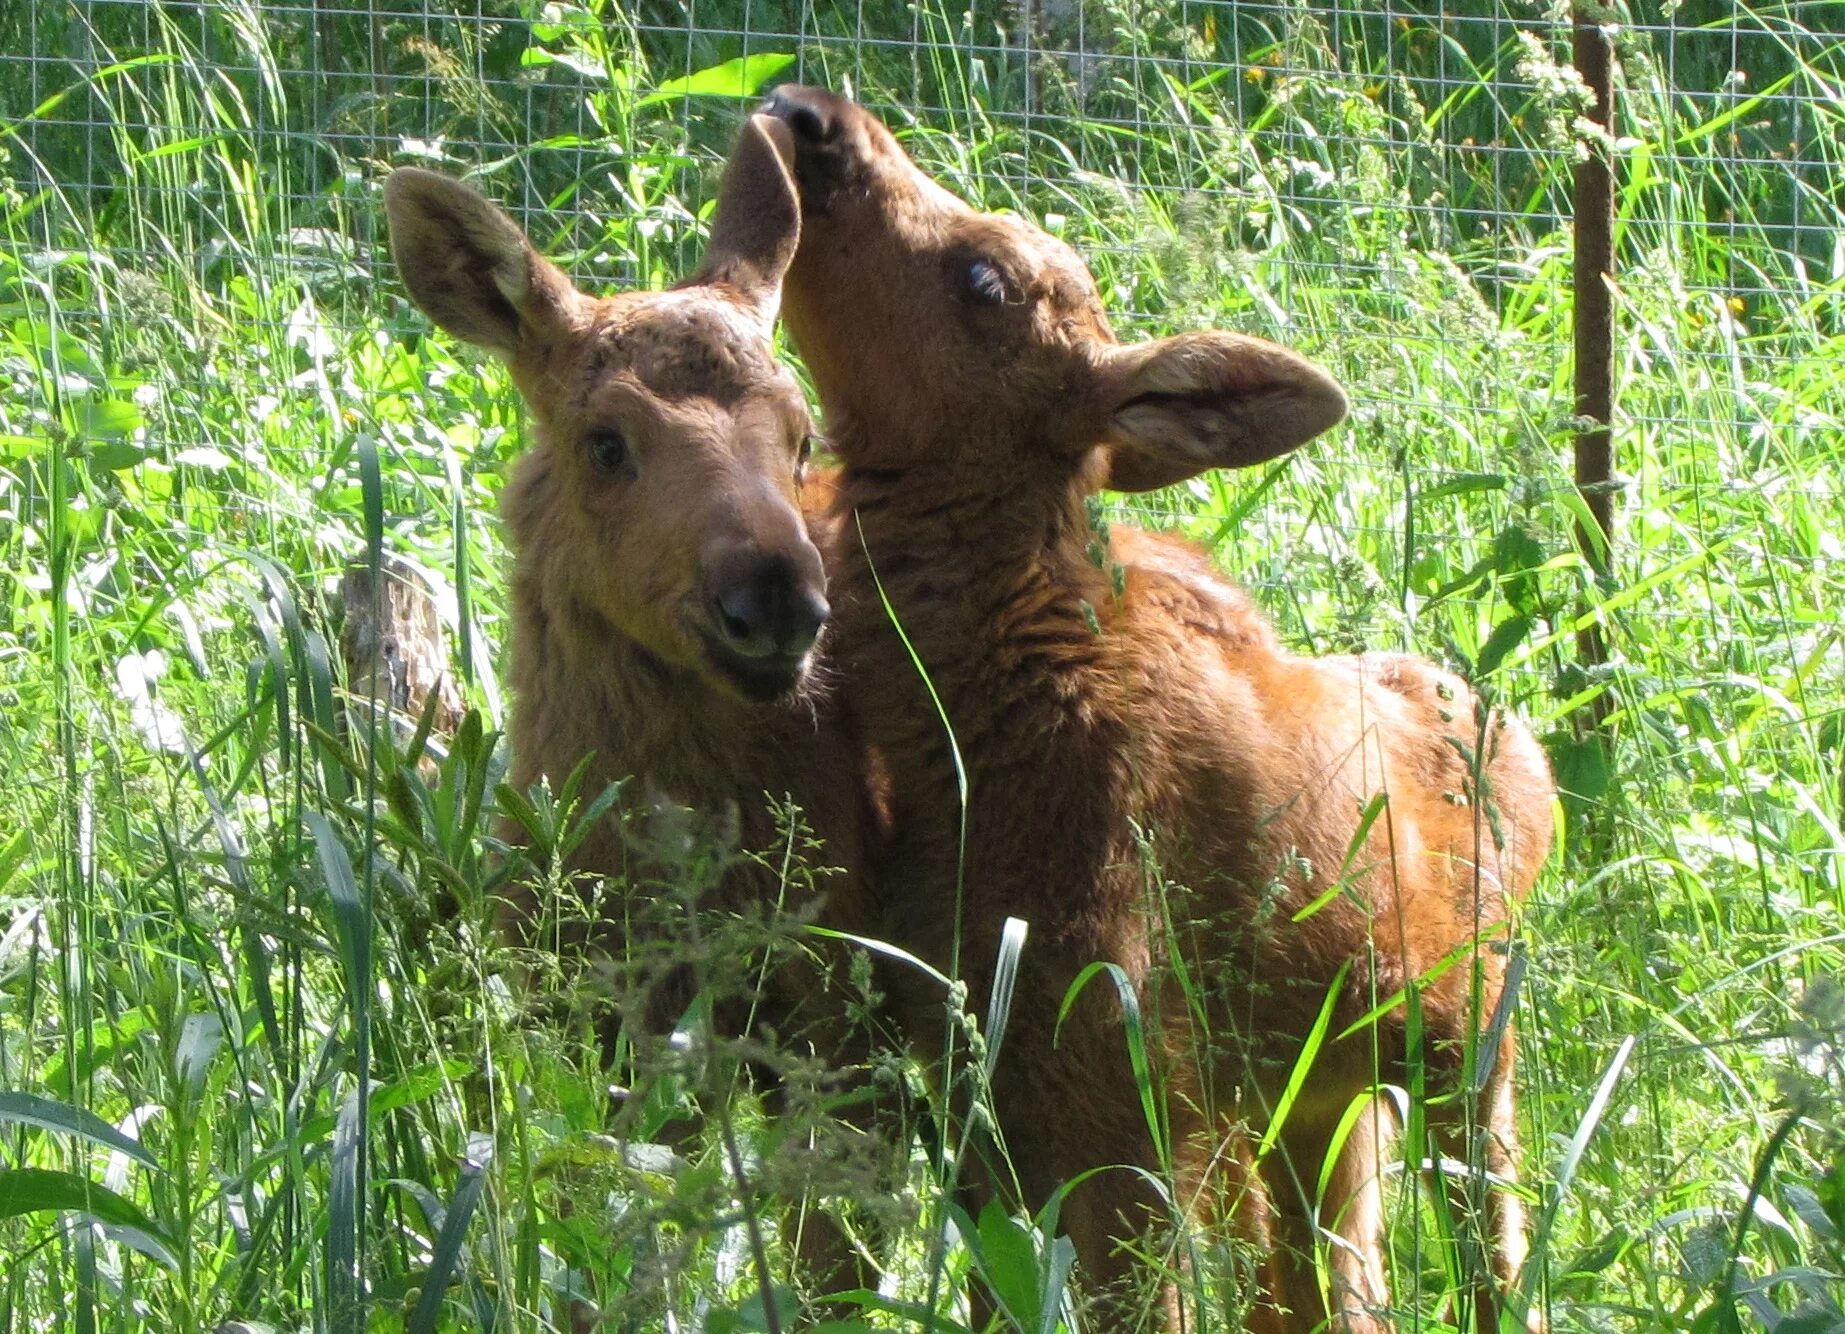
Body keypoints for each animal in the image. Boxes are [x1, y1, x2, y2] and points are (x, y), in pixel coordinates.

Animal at [383, 117, 885, 1313]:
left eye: (802, 435)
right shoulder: (580, 1009)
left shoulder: (829, 1018)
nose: (775, 600)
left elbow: (822, 1257)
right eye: (606, 440)